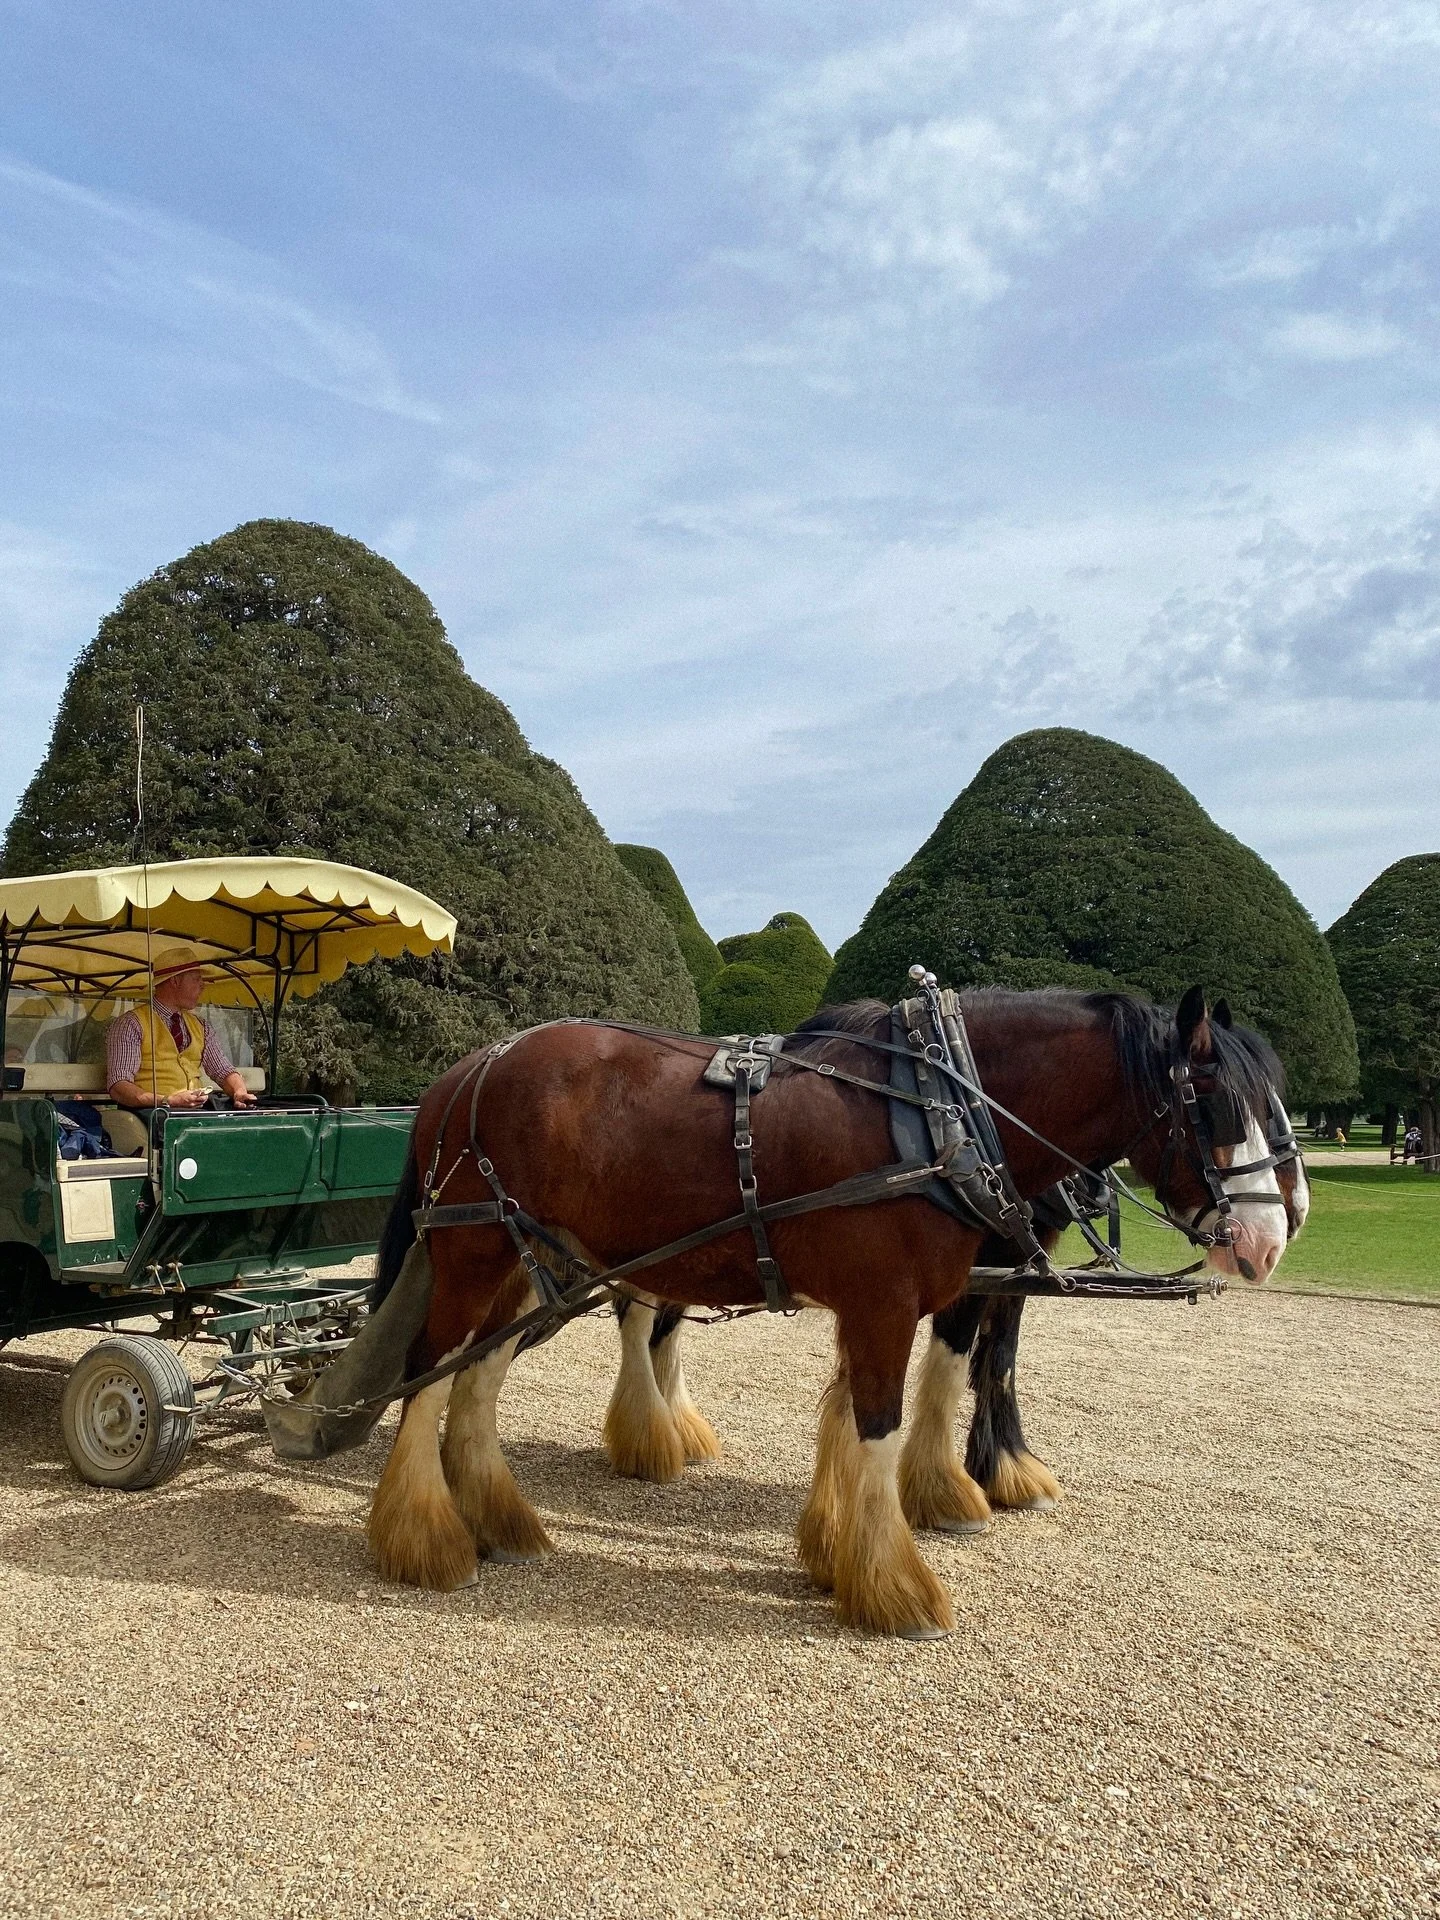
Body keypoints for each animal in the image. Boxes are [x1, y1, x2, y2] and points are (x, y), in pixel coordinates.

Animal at [600, 997, 1309, 1533]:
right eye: (1221, 1105)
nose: (1280, 1230)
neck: (961, 1114)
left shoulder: (1009, 1265)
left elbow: (996, 1358)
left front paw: (1002, 1469)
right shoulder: (961, 1271)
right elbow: (953, 1360)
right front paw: (948, 1488)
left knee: (662, 1321)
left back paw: (675, 1425)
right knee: (639, 1318)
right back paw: (648, 1436)